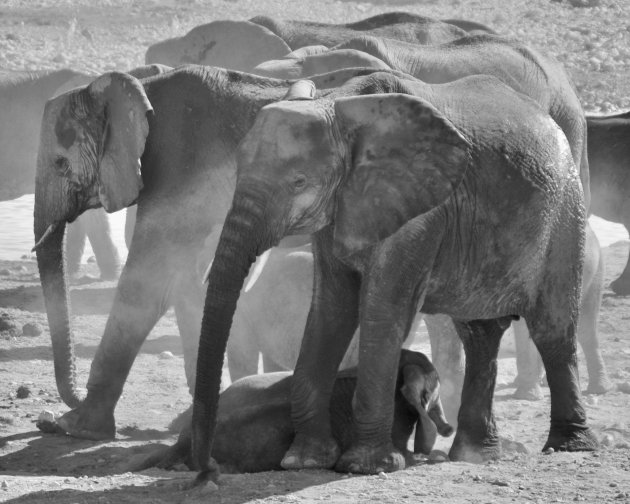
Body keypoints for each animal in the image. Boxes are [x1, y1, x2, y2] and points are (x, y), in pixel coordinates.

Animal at [32, 64, 408, 440]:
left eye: (60, 164)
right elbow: (188, 287)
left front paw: (75, 427)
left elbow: (147, 282)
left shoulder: (180, 167)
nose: (52, 412)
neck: (140, 87)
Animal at [191, 70, 596, 476]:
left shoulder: (422, 209)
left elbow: (383, 307)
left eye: (299, 182)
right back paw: (476, 455)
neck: (338, 104)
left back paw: (569, 446)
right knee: (480, 336)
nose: (206, 468)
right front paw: (304, 460)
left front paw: (365, 465)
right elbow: (331, 306)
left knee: (553, 331)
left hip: (565, 214)